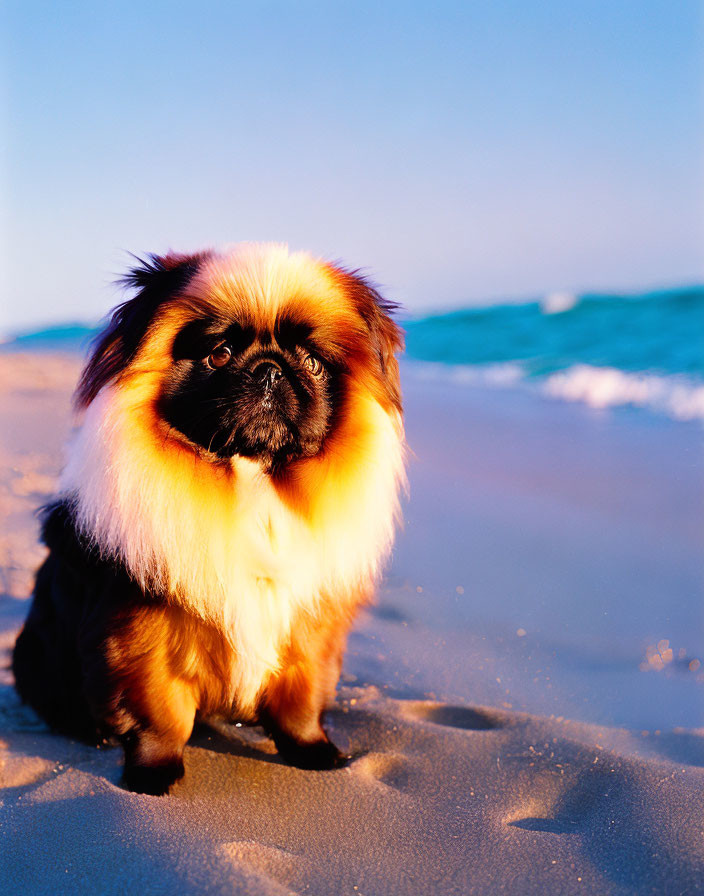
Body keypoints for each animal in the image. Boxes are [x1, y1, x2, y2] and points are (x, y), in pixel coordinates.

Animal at [12, 242, 408, 796]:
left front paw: (313, 752)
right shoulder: (142, 640)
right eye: (219, 353)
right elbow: (160, 716)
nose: (270, 370)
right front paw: (152, 775)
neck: (252, 481)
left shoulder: (309, 631)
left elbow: (302, 702)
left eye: (312, 363)